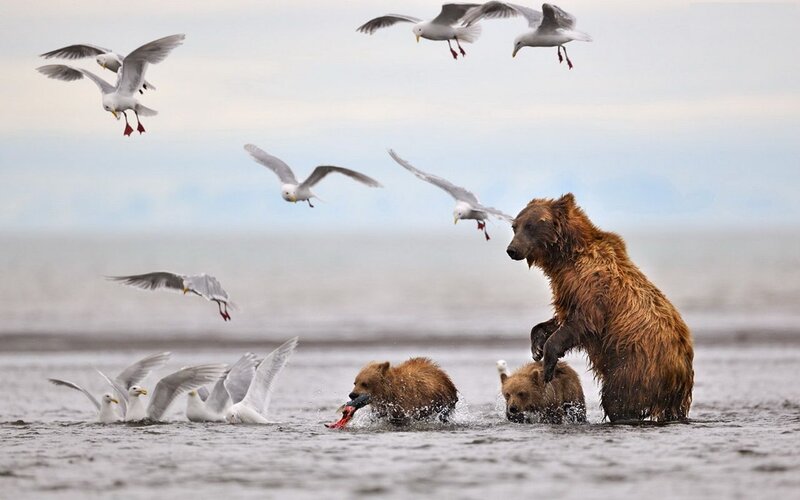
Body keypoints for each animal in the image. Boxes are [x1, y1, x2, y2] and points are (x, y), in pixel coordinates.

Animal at [506, 193, 694, 422]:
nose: (512, 250)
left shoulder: (591, 288)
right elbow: (561, 318)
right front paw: (537, 347)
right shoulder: (566, 288)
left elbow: (582, 322)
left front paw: (548, 364)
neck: (566, 257)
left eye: (531, 225)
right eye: (515, 226)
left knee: (617, 399)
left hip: (635, 367)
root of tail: (682, 368)